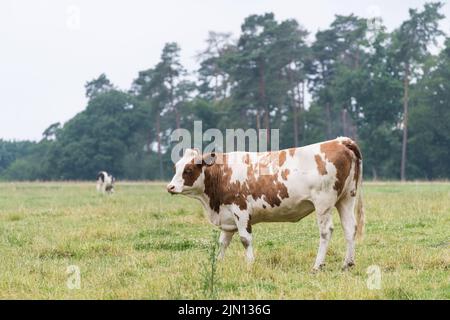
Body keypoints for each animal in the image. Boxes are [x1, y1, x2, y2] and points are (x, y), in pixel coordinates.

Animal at [167, 136, 364, 272]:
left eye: (188, 169)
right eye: (176, 167)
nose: (170, 187)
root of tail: (340, 141)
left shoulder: (241, 210)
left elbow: (245, 239)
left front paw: (250, 264)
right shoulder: (227, 217)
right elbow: (223, 242)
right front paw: (218, 263)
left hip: (324, 202)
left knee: (326, 231)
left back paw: (317, 265)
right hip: (346, 198)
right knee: (349, 228)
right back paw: (348, 263)